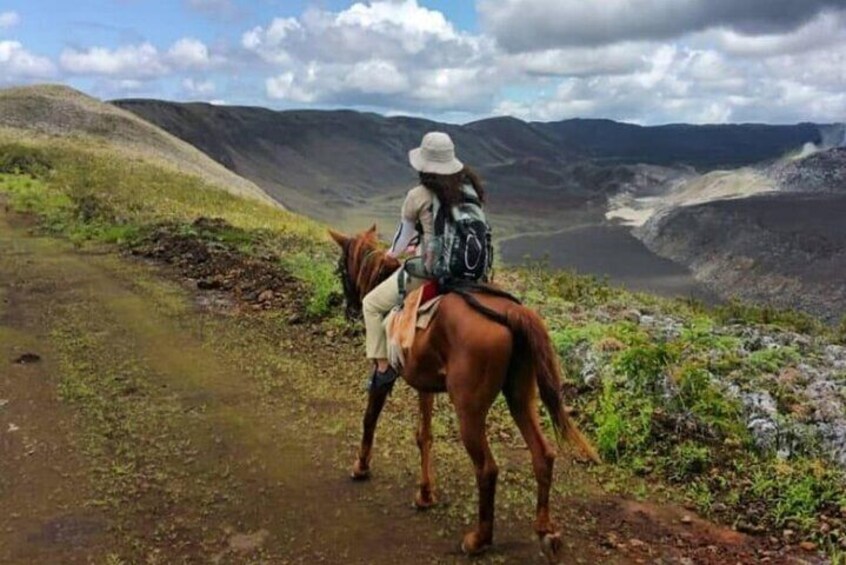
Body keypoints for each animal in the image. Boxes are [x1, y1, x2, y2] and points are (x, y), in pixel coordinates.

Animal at [328, 225, 600, 560]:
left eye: (341, 269)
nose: (350, 309)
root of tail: (511, 312)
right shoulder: (425, 385)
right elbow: (424, 435)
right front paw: (425, 493)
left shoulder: (384, 372)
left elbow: (370, 419)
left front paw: (361, 466)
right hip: (520, 396)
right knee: (543, 454)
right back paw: (545, 529)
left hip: (468, 409)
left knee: (487, 469)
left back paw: (479, 539)